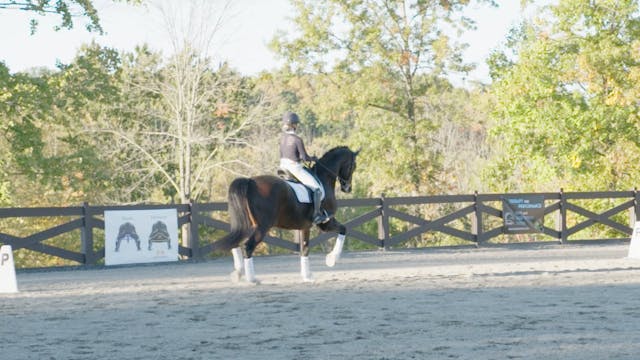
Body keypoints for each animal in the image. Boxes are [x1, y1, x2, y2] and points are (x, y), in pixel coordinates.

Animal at [215, 145, 360, 282]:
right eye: (353, 166)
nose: (347, 188)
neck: (323, 179)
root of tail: (250, 181)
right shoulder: (326, 222)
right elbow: (343, 229)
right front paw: (331, 259)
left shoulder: (304, 226)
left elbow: (304, 249)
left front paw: (307, 276)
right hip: (262, 227)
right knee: (248, 246)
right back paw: (252, 280)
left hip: (247, 224)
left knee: (236, 242)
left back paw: (238, 273)